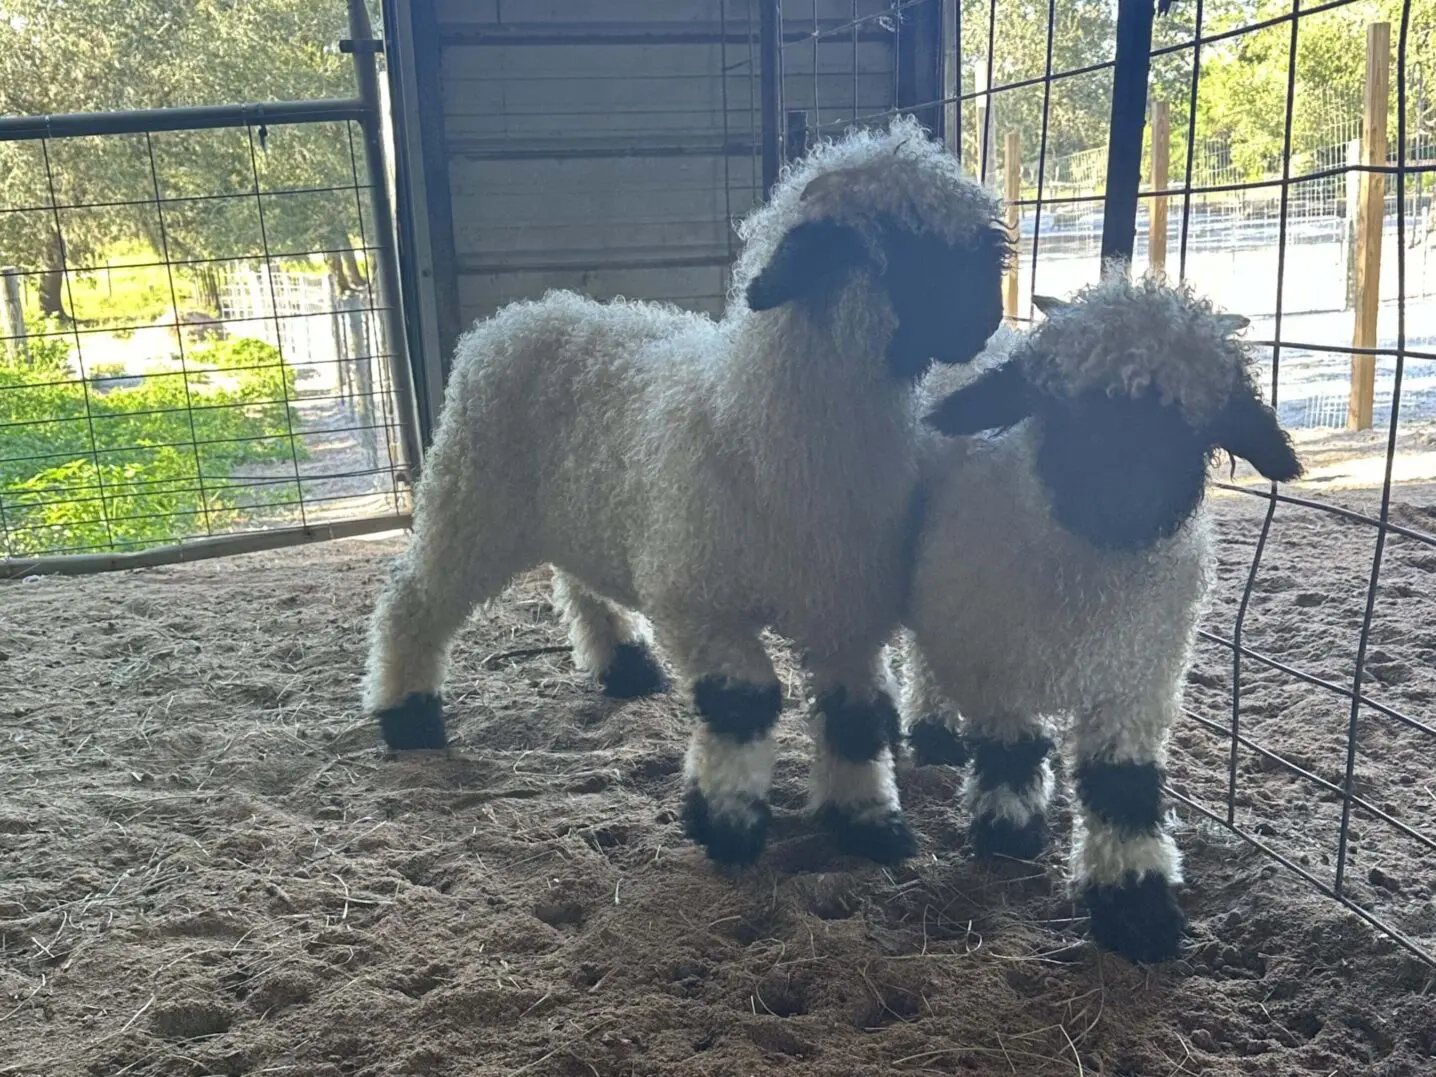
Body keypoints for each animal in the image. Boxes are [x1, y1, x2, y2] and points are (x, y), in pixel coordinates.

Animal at [362, 115, 1011, 869]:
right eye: (907, 246)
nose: (989, 320)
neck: (762, 421)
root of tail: (516, 316)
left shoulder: (846, 609)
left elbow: (859, 715)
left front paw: (868, 823)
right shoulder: (702, 603)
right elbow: (744, 704)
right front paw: (727, 823)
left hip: (584, 505)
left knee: (579, 577)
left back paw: (624, 666)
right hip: (471, 495)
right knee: (415, 597)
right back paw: (407, 715)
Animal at [893, 272, 1303, 962]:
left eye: (1191, 421)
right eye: (1066, 407)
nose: (1126, 502)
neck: (1089, 584)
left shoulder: (1138, 683)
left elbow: (1122, 786)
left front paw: (1136, 906)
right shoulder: (993, 658)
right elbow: (1010, 746)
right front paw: (1007, 829)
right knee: (921, 655)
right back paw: (933, 732)